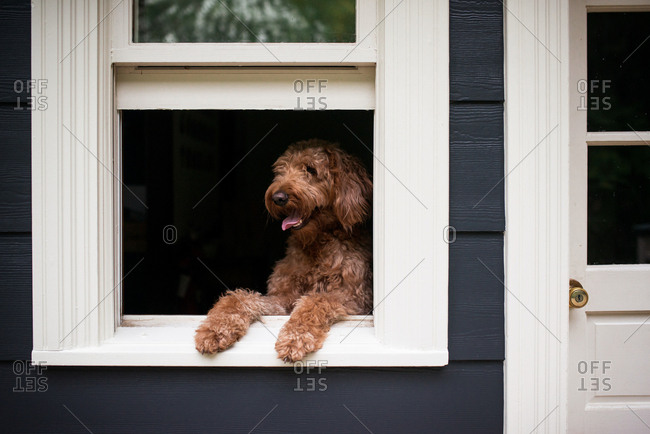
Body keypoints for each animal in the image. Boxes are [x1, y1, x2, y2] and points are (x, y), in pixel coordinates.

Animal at [192, 139, 372, 362]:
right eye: (281, 170)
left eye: (310, 169)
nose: (278, 197)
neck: (317, 244)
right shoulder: (283, 299)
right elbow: (241, 297)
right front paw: (215, 328)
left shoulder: (356, 299)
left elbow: (317, 300)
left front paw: (295, 337)